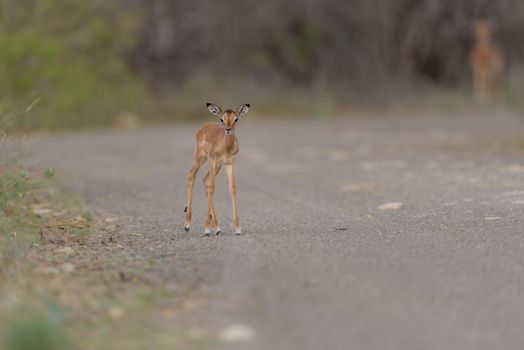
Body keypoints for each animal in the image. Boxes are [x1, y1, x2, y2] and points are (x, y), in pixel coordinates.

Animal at [183, 102, 251, 237]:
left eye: (236, 119)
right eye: (221, 119)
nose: (228, 129)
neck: (226, 147)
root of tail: (203, 127)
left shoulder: (229, 163)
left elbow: (232, 188)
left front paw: (237, 229)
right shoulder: (213, 160)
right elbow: (212, 187)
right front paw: (206, 229)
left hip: (217, 165)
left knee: (205, 180)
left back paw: (217, 227)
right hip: (201, 158)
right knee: (192, 175)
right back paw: (187, 225)